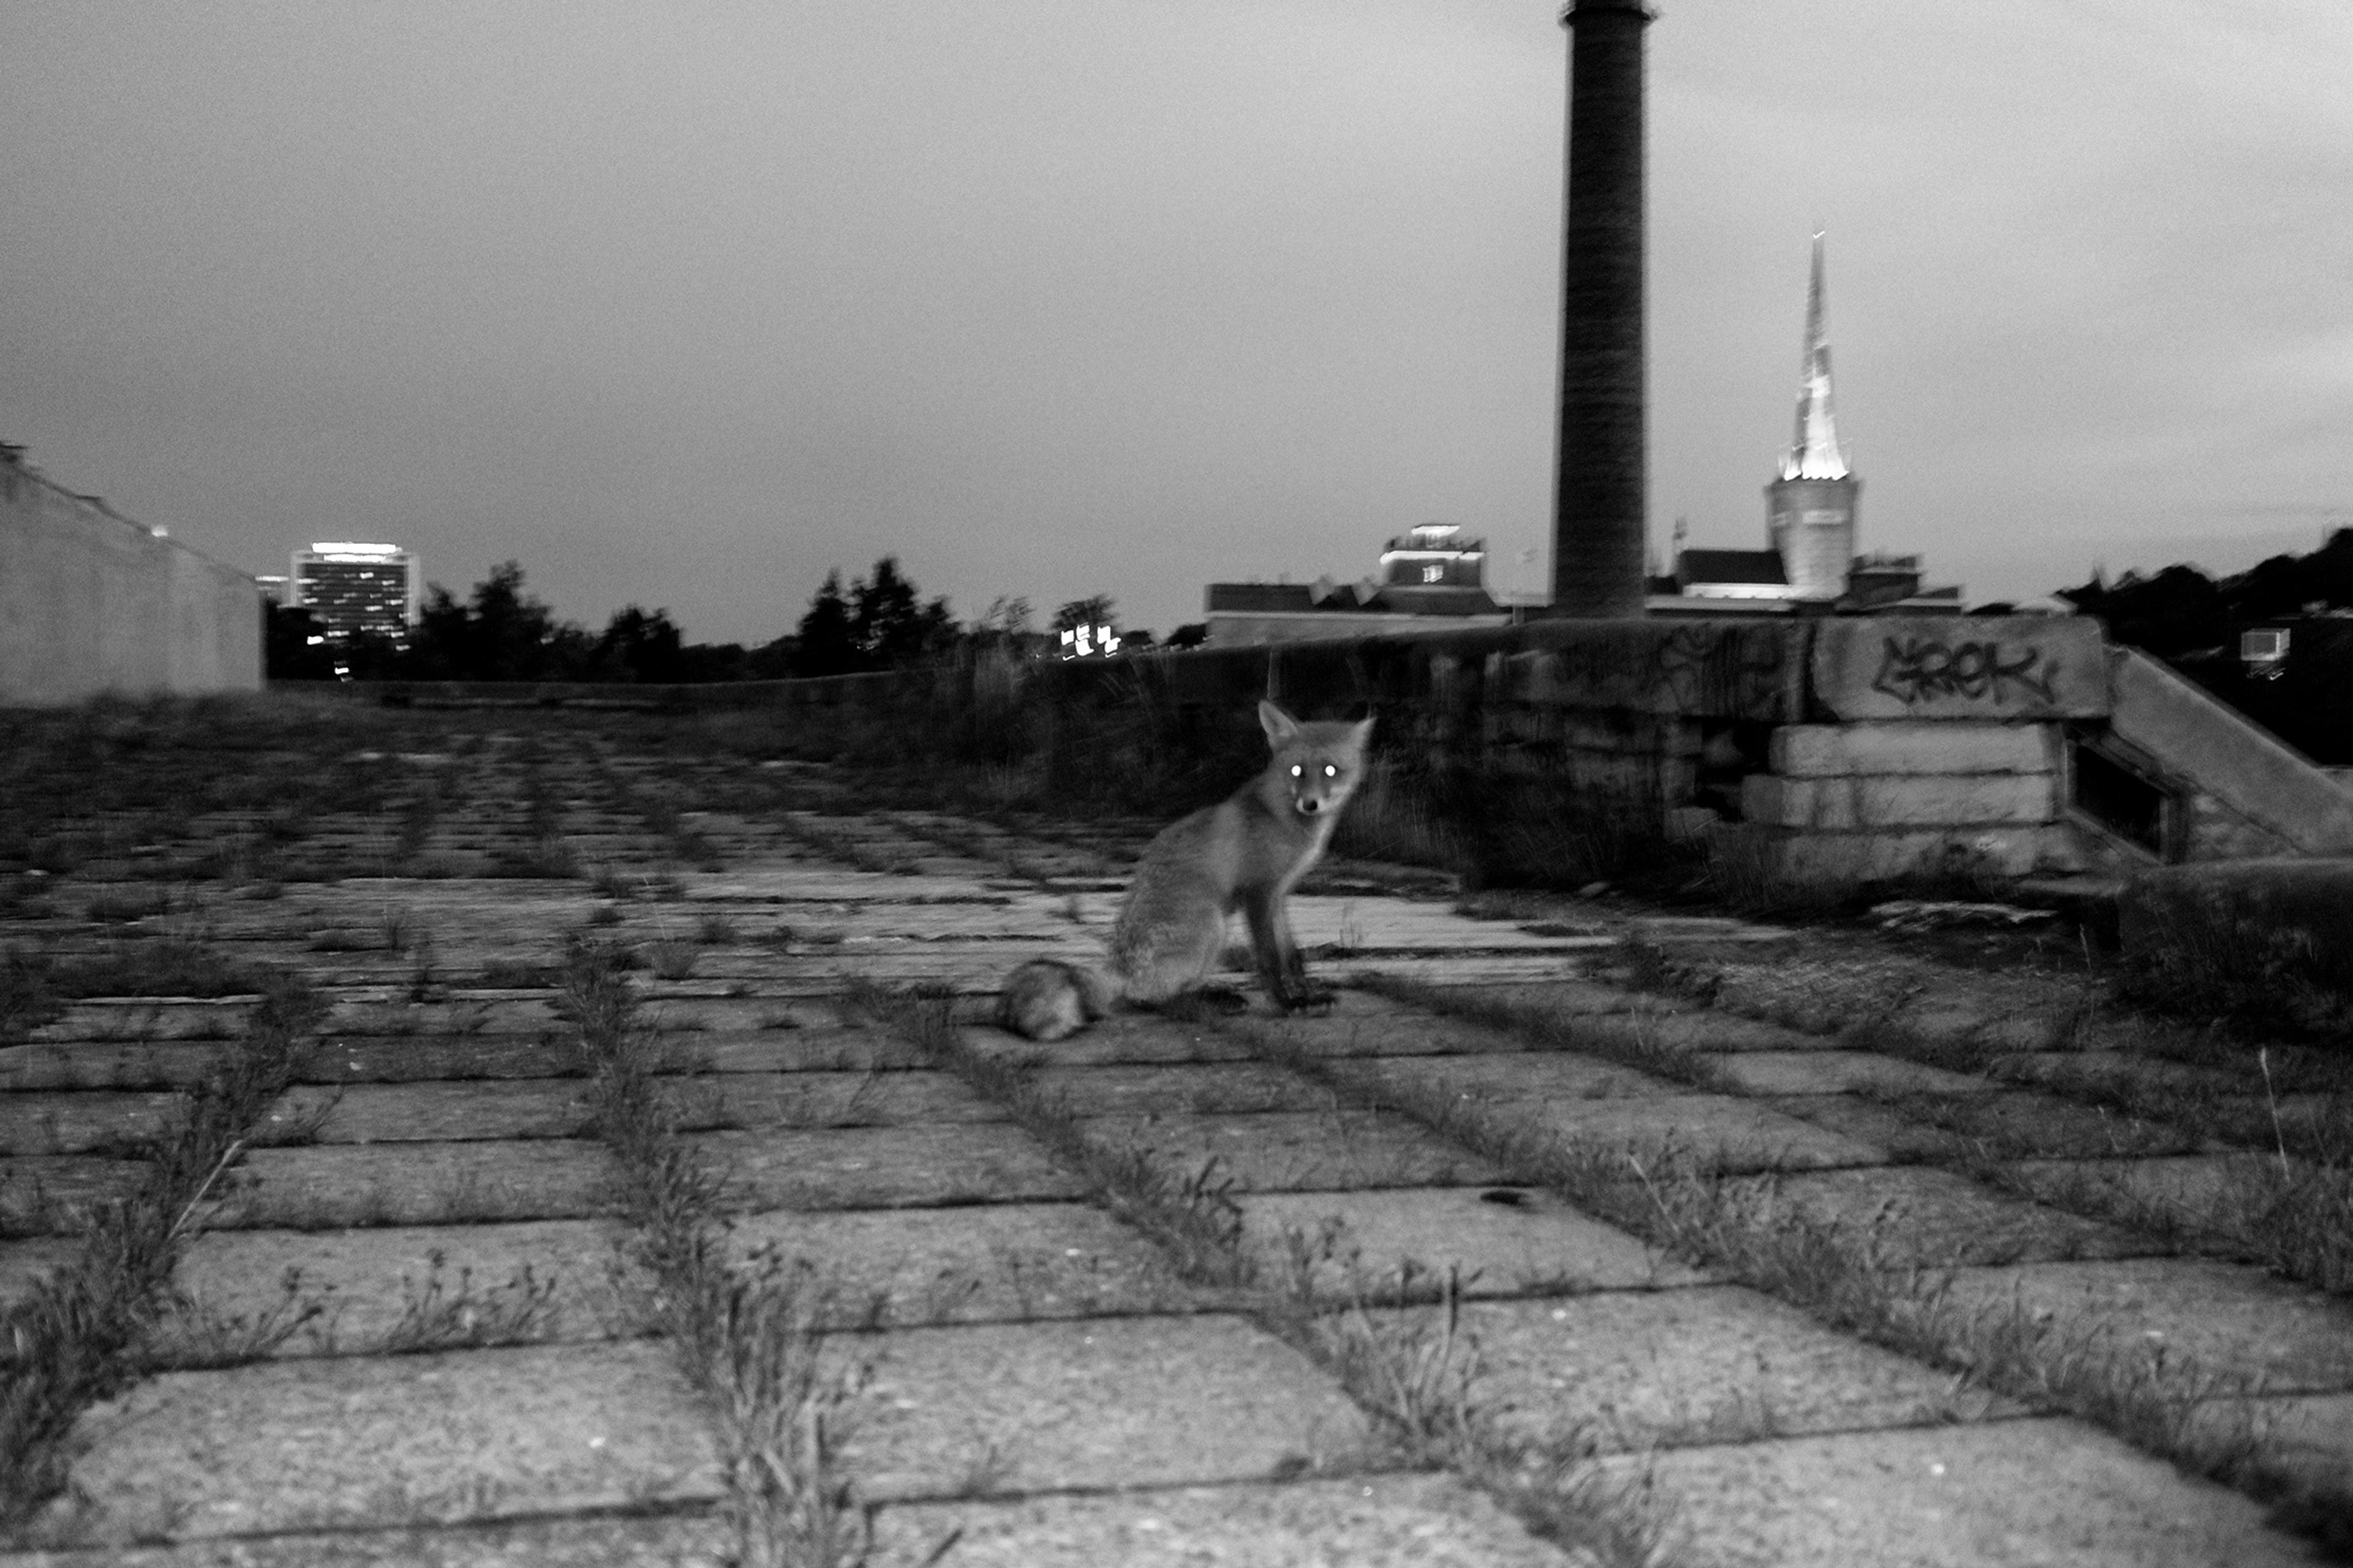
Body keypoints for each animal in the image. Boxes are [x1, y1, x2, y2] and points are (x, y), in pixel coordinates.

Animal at [997, 700, 1375, 1041]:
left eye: (1331, 770)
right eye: (1298, 771)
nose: (1310, 804)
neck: (1279, 816)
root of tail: (1120, 967)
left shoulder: (1278, 895)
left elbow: (1292, 956)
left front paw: (1307, 996)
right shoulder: (1258, 892)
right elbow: (1269, 960)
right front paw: (1287, 1004)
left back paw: (1215, 996)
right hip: (1212, 925)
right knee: (1147, 997)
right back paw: (1201, 1003)